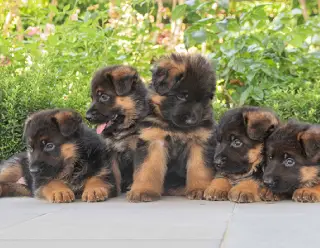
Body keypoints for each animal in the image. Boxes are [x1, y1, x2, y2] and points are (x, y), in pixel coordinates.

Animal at [85, 65, 150, 193]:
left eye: (103, 97)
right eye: (92, 98)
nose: (87, 117)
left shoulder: (138, 148)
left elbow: (137, 172)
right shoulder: (111, 152)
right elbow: (115, 174)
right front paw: (115, 191)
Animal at [126, 53, 216, 202]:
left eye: (203, 99)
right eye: (181, 96)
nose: (192, 120)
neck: (175, 128)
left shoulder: (199, 142)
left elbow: (199, 168)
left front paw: (199, 189)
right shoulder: (154, 141)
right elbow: (147, 168)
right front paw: (143, 190)